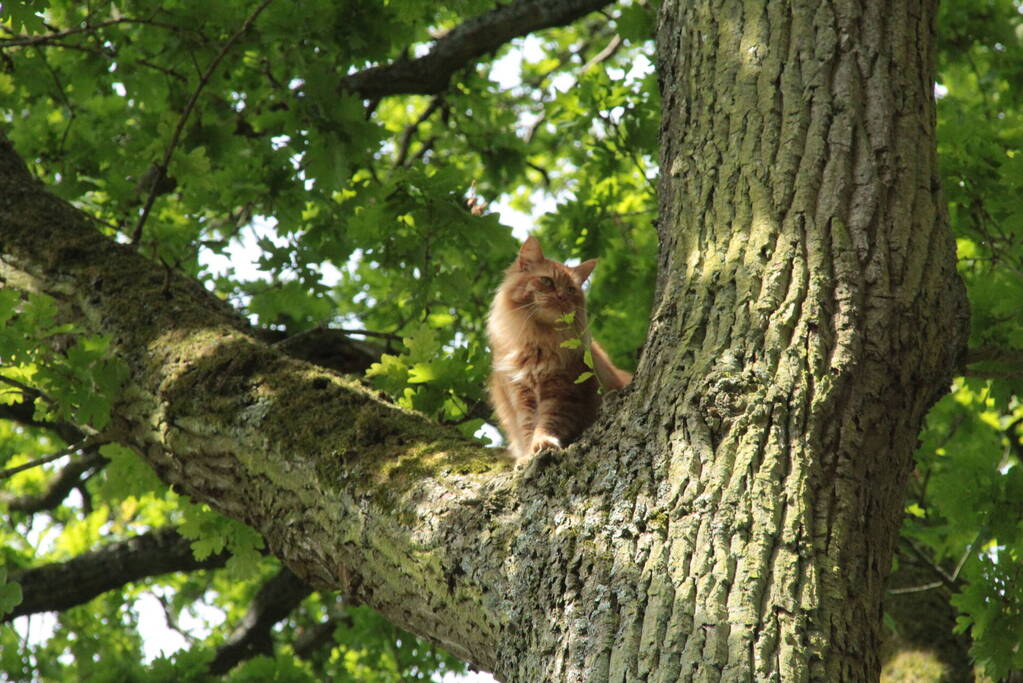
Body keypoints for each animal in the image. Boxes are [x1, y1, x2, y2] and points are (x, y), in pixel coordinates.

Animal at [486, 235, 630, 464]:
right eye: (547, 281)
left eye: (571, 290)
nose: (562, 296)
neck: (538, 340)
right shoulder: (520, 394)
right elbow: (527, 427)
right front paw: (527, 457)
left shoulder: (562, 391)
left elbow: (547, 422)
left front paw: (541, 444)